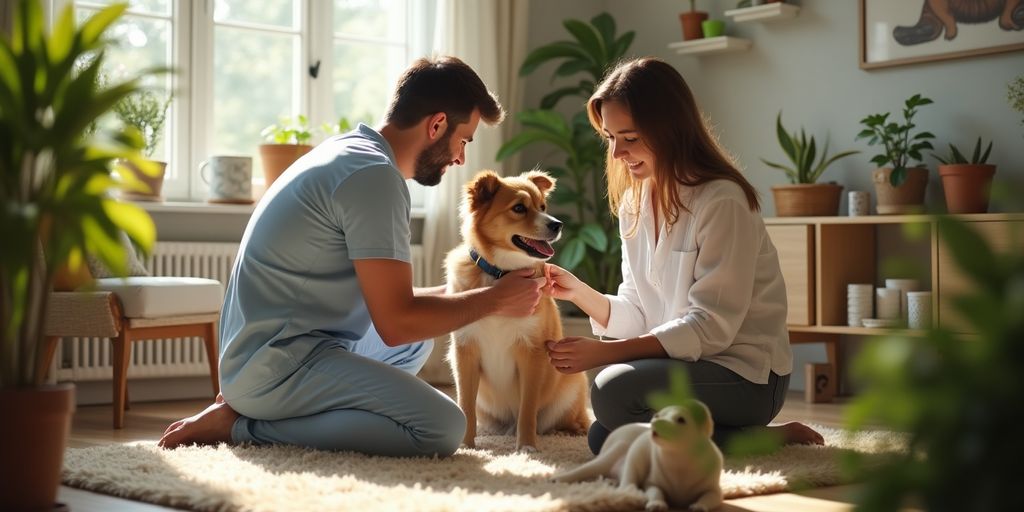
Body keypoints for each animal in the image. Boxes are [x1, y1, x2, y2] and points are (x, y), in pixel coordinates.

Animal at [444, 169, 589, 450]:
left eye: (543, 207)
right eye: (519, 208)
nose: (558, 224)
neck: (501, 274)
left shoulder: (532, 352)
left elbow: (527, 408)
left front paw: (527, 447)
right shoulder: (465, 351)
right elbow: (465, 404)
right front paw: (466, 445)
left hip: (574, 383)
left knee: (575, 422)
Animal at [552, 401, 720, 509]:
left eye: (681, 419)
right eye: (657, 416)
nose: (655, 423)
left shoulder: (713, 489)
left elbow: (710, 497)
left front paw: (699, 506)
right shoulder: (652, 482)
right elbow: (656, 491)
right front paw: (656, 503)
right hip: (617, 456)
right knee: (590, 471)